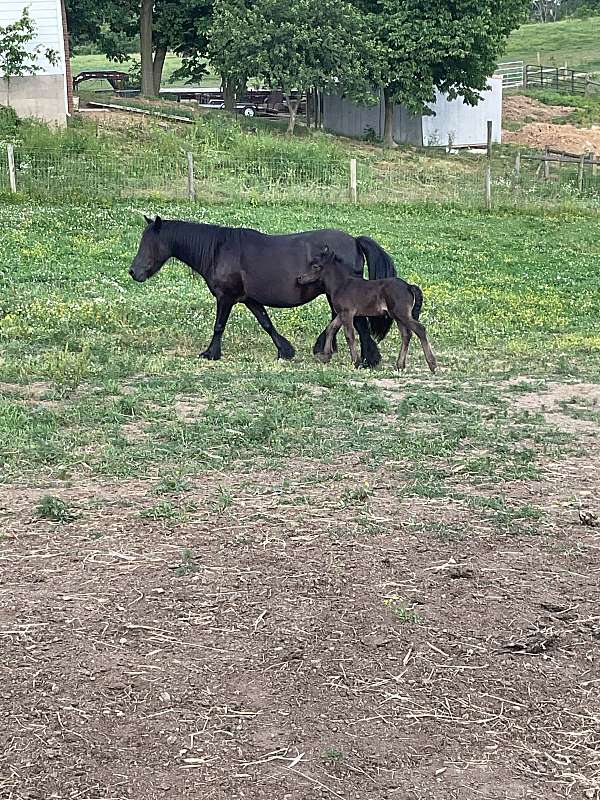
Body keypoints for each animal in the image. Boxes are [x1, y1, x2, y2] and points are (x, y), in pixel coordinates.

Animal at [128, 215, 396, 367]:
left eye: (149, 243)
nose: (133, 272)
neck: (219, 250)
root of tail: (354, 241)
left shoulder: (226, 297)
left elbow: (218, 326)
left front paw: (210, 353)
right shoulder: (249, 299)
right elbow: (266, 323)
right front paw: (285, 350)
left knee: (356, 322)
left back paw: (368, 359)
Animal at [298, 247, 436, 373]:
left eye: (316, 266)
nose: (300, 278)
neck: (341, 285)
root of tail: (409, 286)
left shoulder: (348, 313)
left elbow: (349, 335)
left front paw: (355, 362)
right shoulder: (341, 313)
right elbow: (331, 328)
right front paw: (326, 356)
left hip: (402, 314)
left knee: (420, 329)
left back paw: (432, 364)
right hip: (397, 316)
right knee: (406, 335)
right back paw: (400, 365)